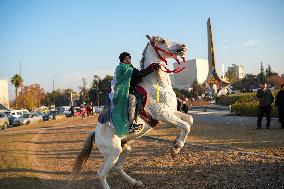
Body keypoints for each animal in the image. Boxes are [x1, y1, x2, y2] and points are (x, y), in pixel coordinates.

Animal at [72, 35, 194, 189]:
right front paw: (176, 148)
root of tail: (95, 133)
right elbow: (186, 125)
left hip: (126, 147)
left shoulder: (171, 111)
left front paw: (176, 146)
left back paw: (136, 182)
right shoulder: (163, 114)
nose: (183, 47)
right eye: (162, 41)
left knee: (118, 167)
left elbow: (189, 120)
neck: (155, 84)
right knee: (101, 173)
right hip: (113, 152)